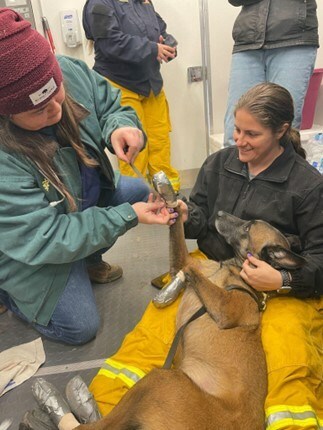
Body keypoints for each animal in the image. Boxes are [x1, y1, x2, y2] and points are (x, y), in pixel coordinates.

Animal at [78, 209, 306, 430]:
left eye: (248, 227)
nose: (218, 213)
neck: (234, 271)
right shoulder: (185, 260)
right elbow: (178, 229)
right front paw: (177, 205)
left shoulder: (224, 306)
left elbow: (192, 271)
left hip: (162, 379)